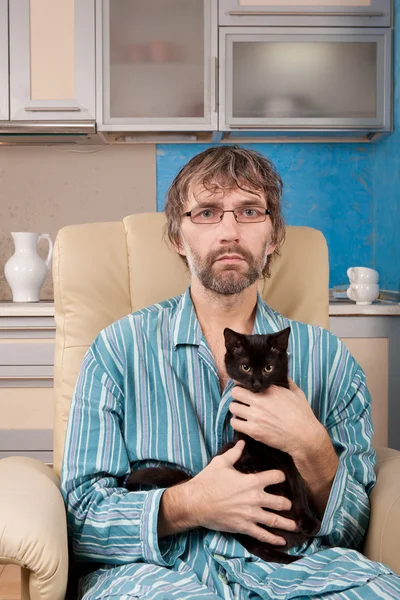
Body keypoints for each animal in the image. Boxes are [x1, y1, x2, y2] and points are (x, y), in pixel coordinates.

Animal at [126, 328, 320, 564]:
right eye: (245, 367)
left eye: (268, 368)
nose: (256, 383)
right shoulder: (241, 436)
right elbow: (246, 450)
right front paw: (249, 467)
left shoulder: (290, 450)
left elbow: (298, 484)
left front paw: (309, 522)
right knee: (255, 545)